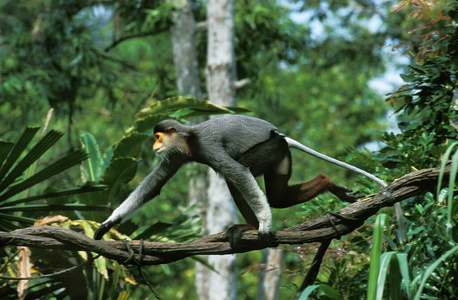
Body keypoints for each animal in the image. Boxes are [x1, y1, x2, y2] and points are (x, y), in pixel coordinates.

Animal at [94, 114, 386, 244]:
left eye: (157, 137)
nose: (155, 146)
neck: (189, 139)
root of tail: (280, 135)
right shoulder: (178, 155)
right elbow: (154, 184)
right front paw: (108, 224)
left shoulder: (207, 147)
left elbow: (238, 173)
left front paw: (265, 224)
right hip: (281, 156)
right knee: (278, 196)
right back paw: (327, 182)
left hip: (270, 149)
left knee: (238, 175)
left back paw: (253, 226)